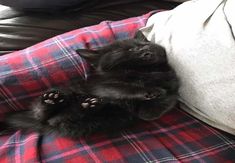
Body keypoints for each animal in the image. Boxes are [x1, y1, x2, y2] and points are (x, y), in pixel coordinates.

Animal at [0, 38, 178, 139]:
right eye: (128, 49)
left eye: (146, 43)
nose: (145, 50)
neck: (145, 71)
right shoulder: (101, 86)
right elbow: (122, 88)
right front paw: (150, 91)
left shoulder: (171, 83)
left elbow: (162, 104)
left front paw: (154, 103)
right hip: (65, 91)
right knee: (43, 114)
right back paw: (52, 101)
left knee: (61, 117)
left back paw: (88, 105)